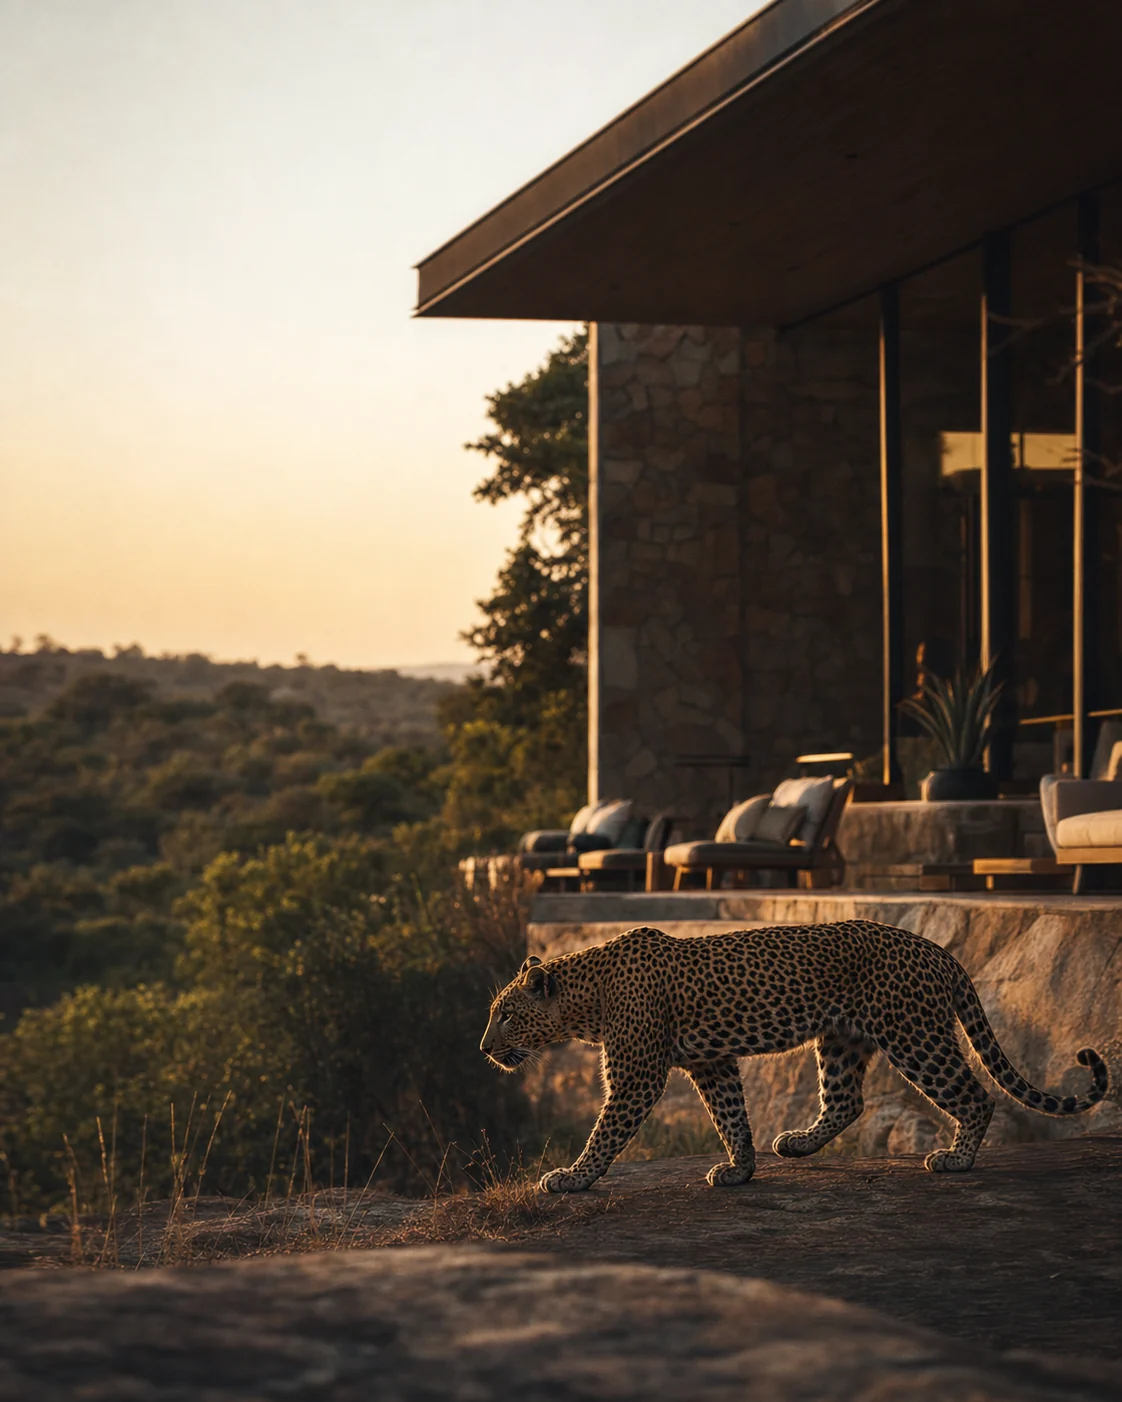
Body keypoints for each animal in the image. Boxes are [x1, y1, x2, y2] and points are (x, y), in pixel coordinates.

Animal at [478, 920, 1110, 1192]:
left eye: (506, 1014)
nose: (484, 1049)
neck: (586, 998)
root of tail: (939, 950)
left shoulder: (637, 1074)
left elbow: (606, 1130)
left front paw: (572, 1177)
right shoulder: (710, 1063)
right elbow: (731, 1115)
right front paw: (740, 1168)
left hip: (914, 1035)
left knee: (975, 1095)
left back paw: (956, 1160)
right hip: (841, 1037)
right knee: (847, 1100)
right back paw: (799, 1144)